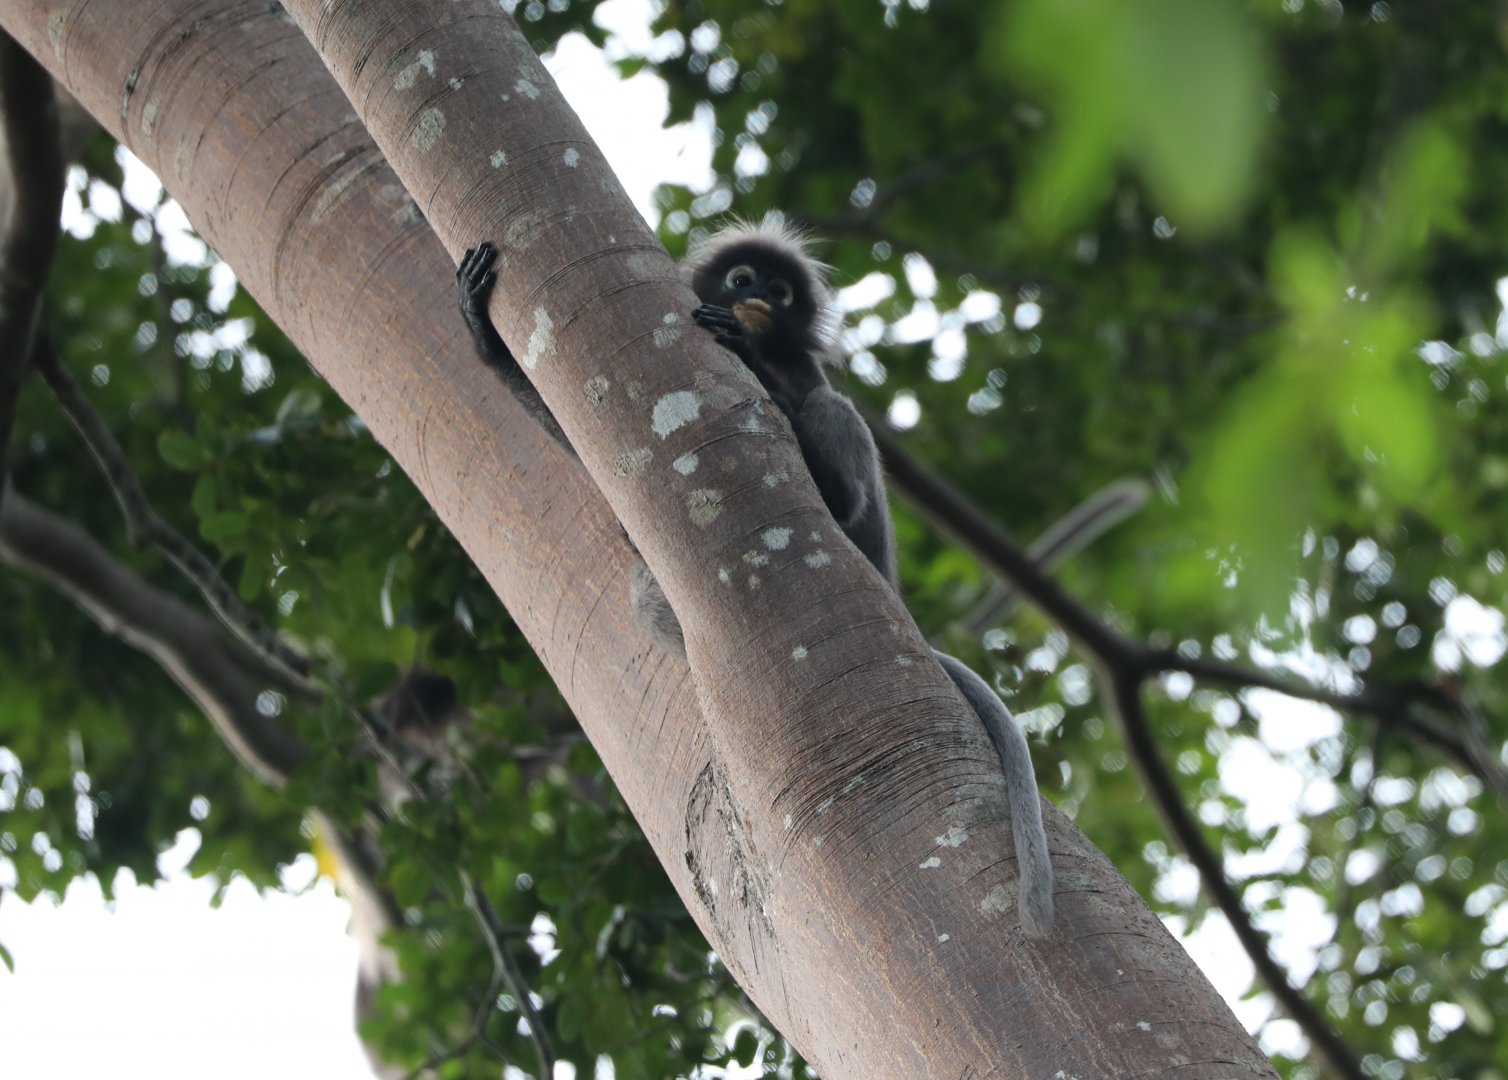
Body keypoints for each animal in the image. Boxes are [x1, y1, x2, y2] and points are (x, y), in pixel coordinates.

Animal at [456, 220, 1055, 935]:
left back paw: (829, 488)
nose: (758, 300)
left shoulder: (802, 364)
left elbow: (807, 387)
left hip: (867, 531)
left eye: (779, 289)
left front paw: (747, 344)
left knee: (834, 413)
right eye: (742, 279)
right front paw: (480, 329)